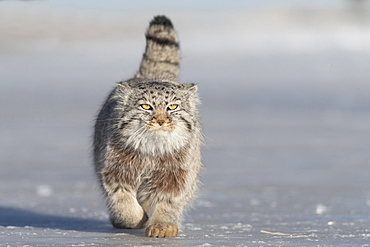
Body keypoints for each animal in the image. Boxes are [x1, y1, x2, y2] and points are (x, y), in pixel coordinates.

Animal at [92, 15, 202, 237]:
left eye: (172, 106)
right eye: (146, 106)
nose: (160, 120)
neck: (152, 150)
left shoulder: (177, 176)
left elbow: (169, 202)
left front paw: (163, 225)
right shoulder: (114, 171)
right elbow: (122, 201)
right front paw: (134, 219)